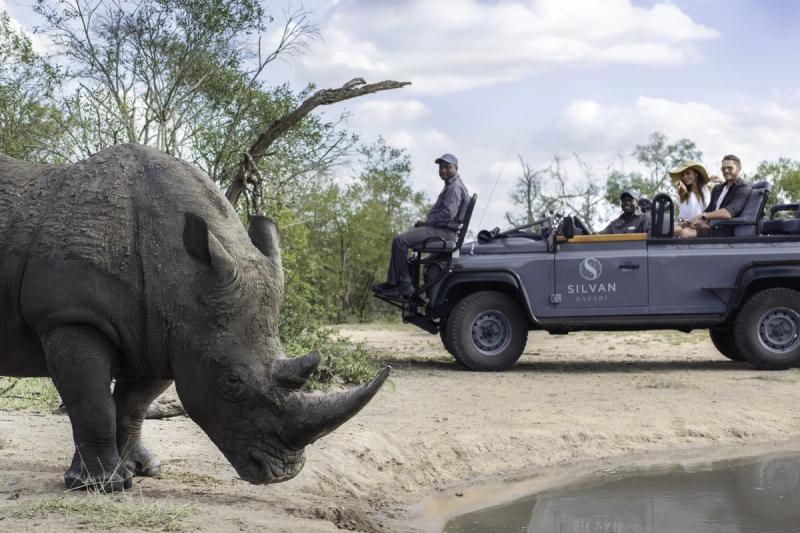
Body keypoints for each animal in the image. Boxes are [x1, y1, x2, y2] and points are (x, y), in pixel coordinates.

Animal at [0, 144, 389, 490]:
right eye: (232, 381)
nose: (283, 474)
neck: (180, 276)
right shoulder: (70, 316)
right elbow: (92, 403)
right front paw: (102, 485)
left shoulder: (161, 332)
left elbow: (132, 405)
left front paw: (142, 470)